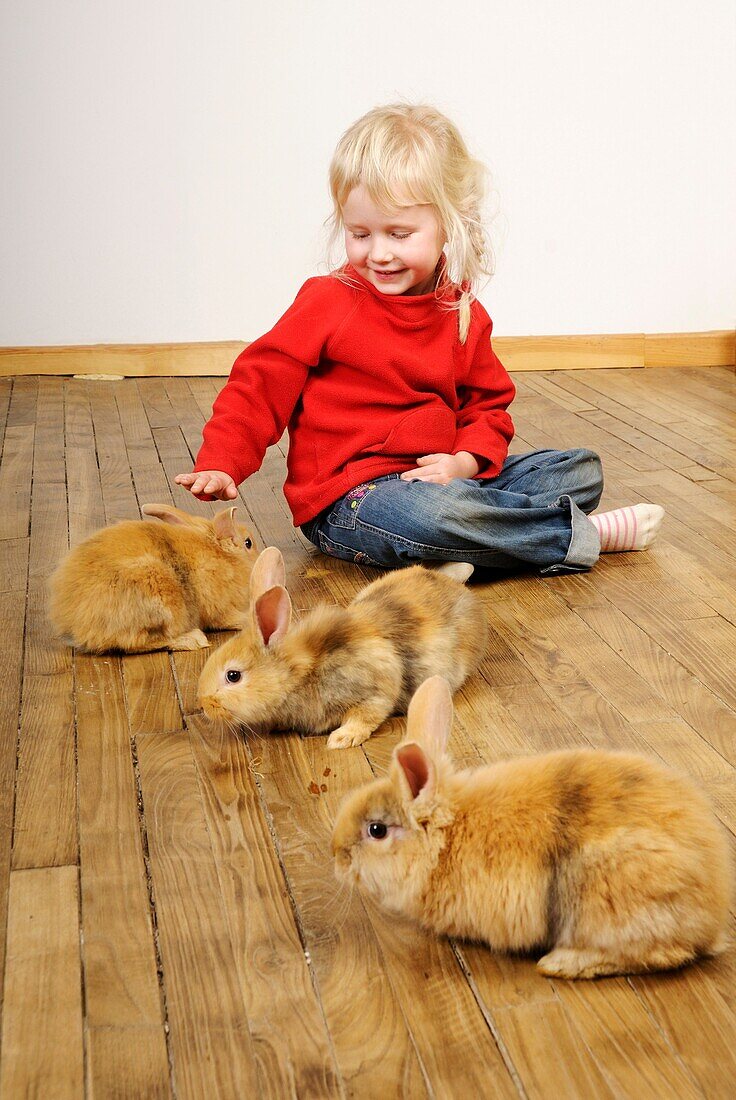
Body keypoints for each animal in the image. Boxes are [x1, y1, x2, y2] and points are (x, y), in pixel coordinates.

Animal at [48, 503, 258, 651]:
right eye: (248, 542)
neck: (222, 555)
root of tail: (74, 622)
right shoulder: (219, 608)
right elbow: (231, 618)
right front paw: (248, 619)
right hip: (160, 596)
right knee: (136, 643)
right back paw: (192, 640)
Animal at [194, 547, 488, 748]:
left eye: (233, 676)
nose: (204, 705)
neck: (304, 673)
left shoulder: (375, 689)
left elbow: (366, 715)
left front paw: (341, 739)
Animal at [334, 677, 734, 981]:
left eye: (376, 830)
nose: (337, 855)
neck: (445, 840)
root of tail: (712, 910)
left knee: (665, 954)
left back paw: (560, 964)